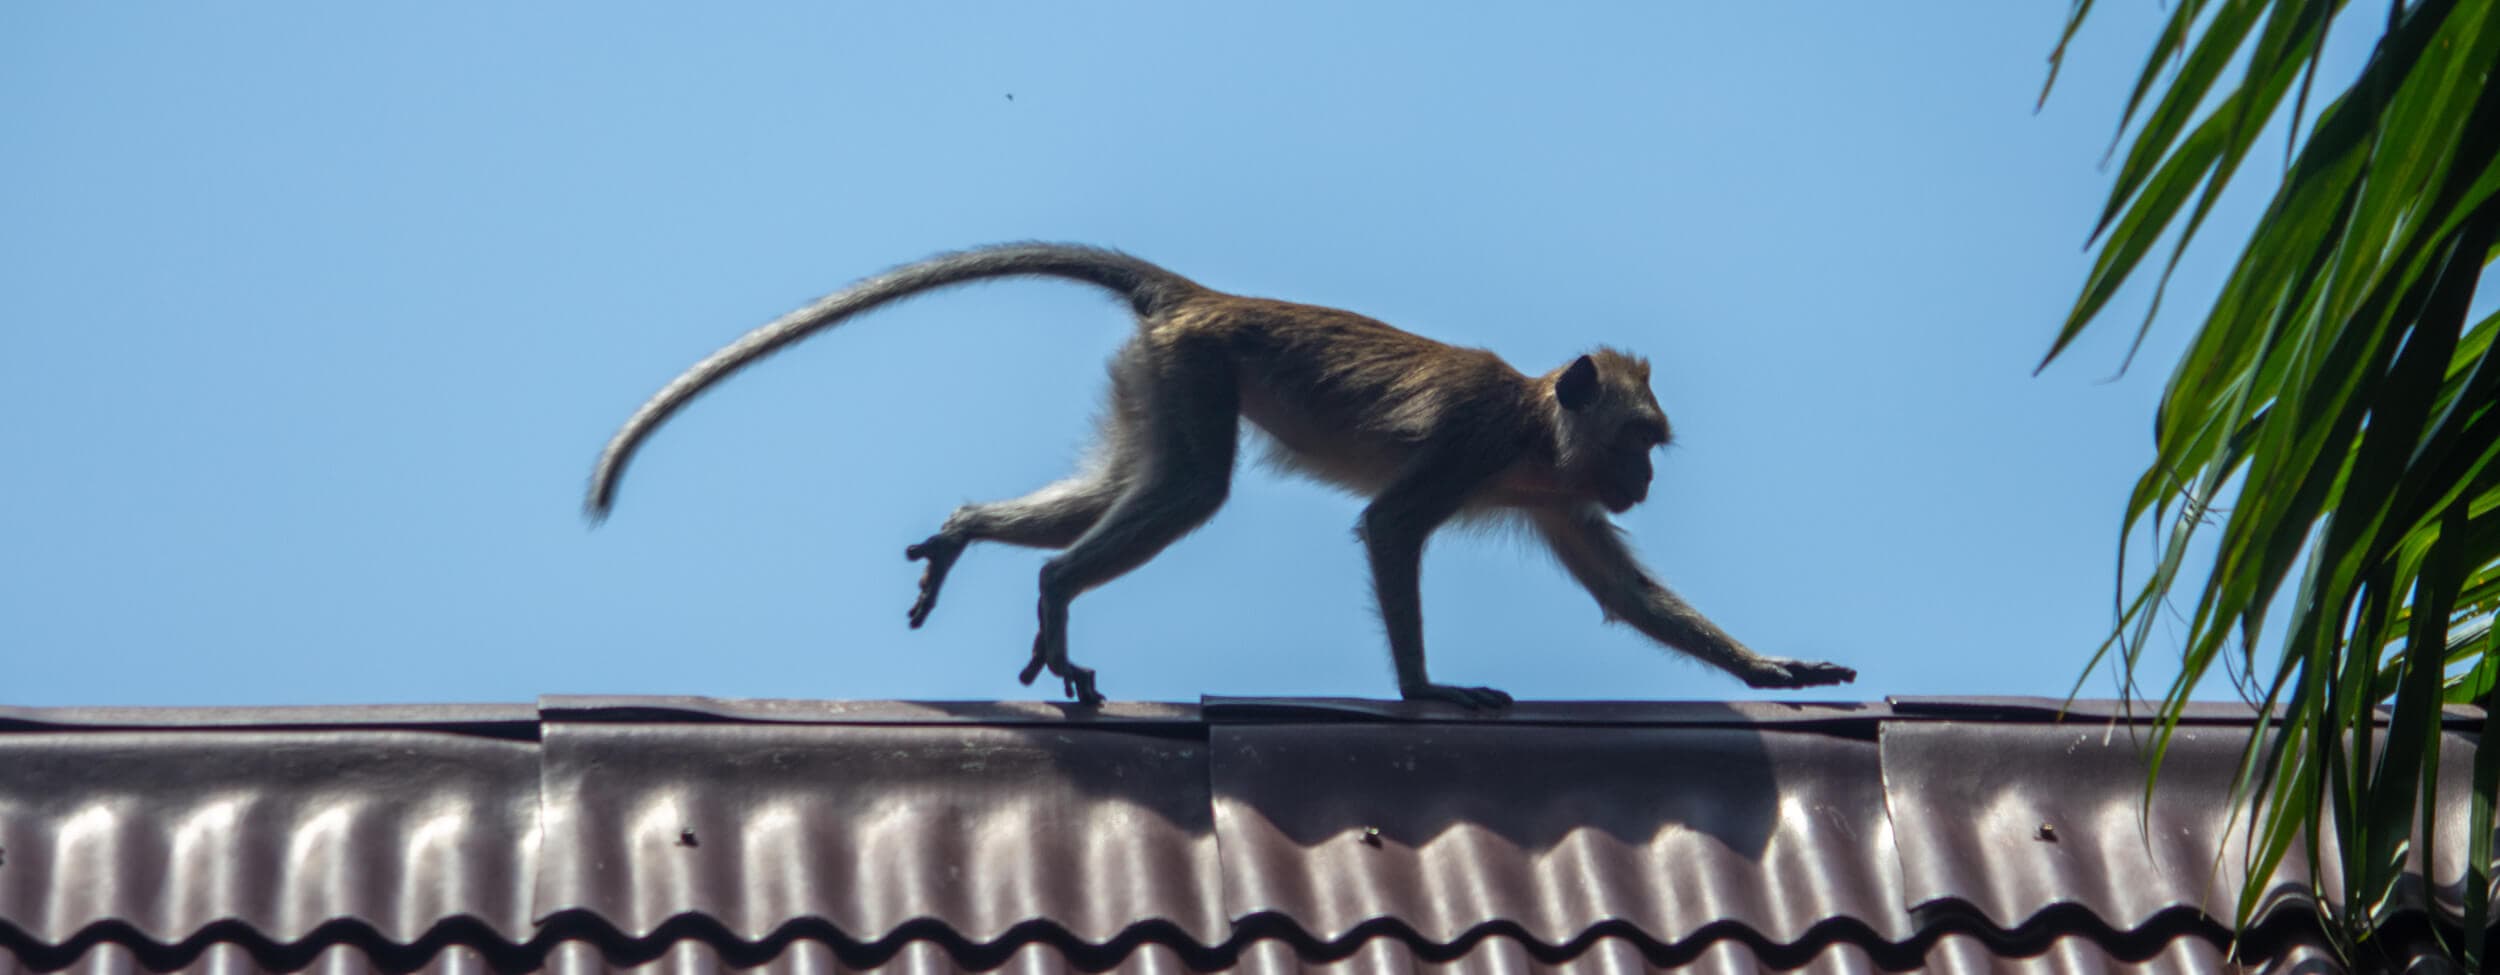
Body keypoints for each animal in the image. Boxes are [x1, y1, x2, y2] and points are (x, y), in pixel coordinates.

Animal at [587, 243, 1855, 708]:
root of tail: (1199, 297)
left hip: (1155, 377)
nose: (1644, 483)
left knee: (1139, 484)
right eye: (1639, 442)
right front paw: (1426, 696)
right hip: (1195, 368)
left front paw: (1768, 669)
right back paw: (1054, 592)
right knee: (1192, 492)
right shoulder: (1470, 445)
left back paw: (966, 531)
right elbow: (1392, 530)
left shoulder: (1554, 495)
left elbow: (1620, 592)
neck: (1539, 437)